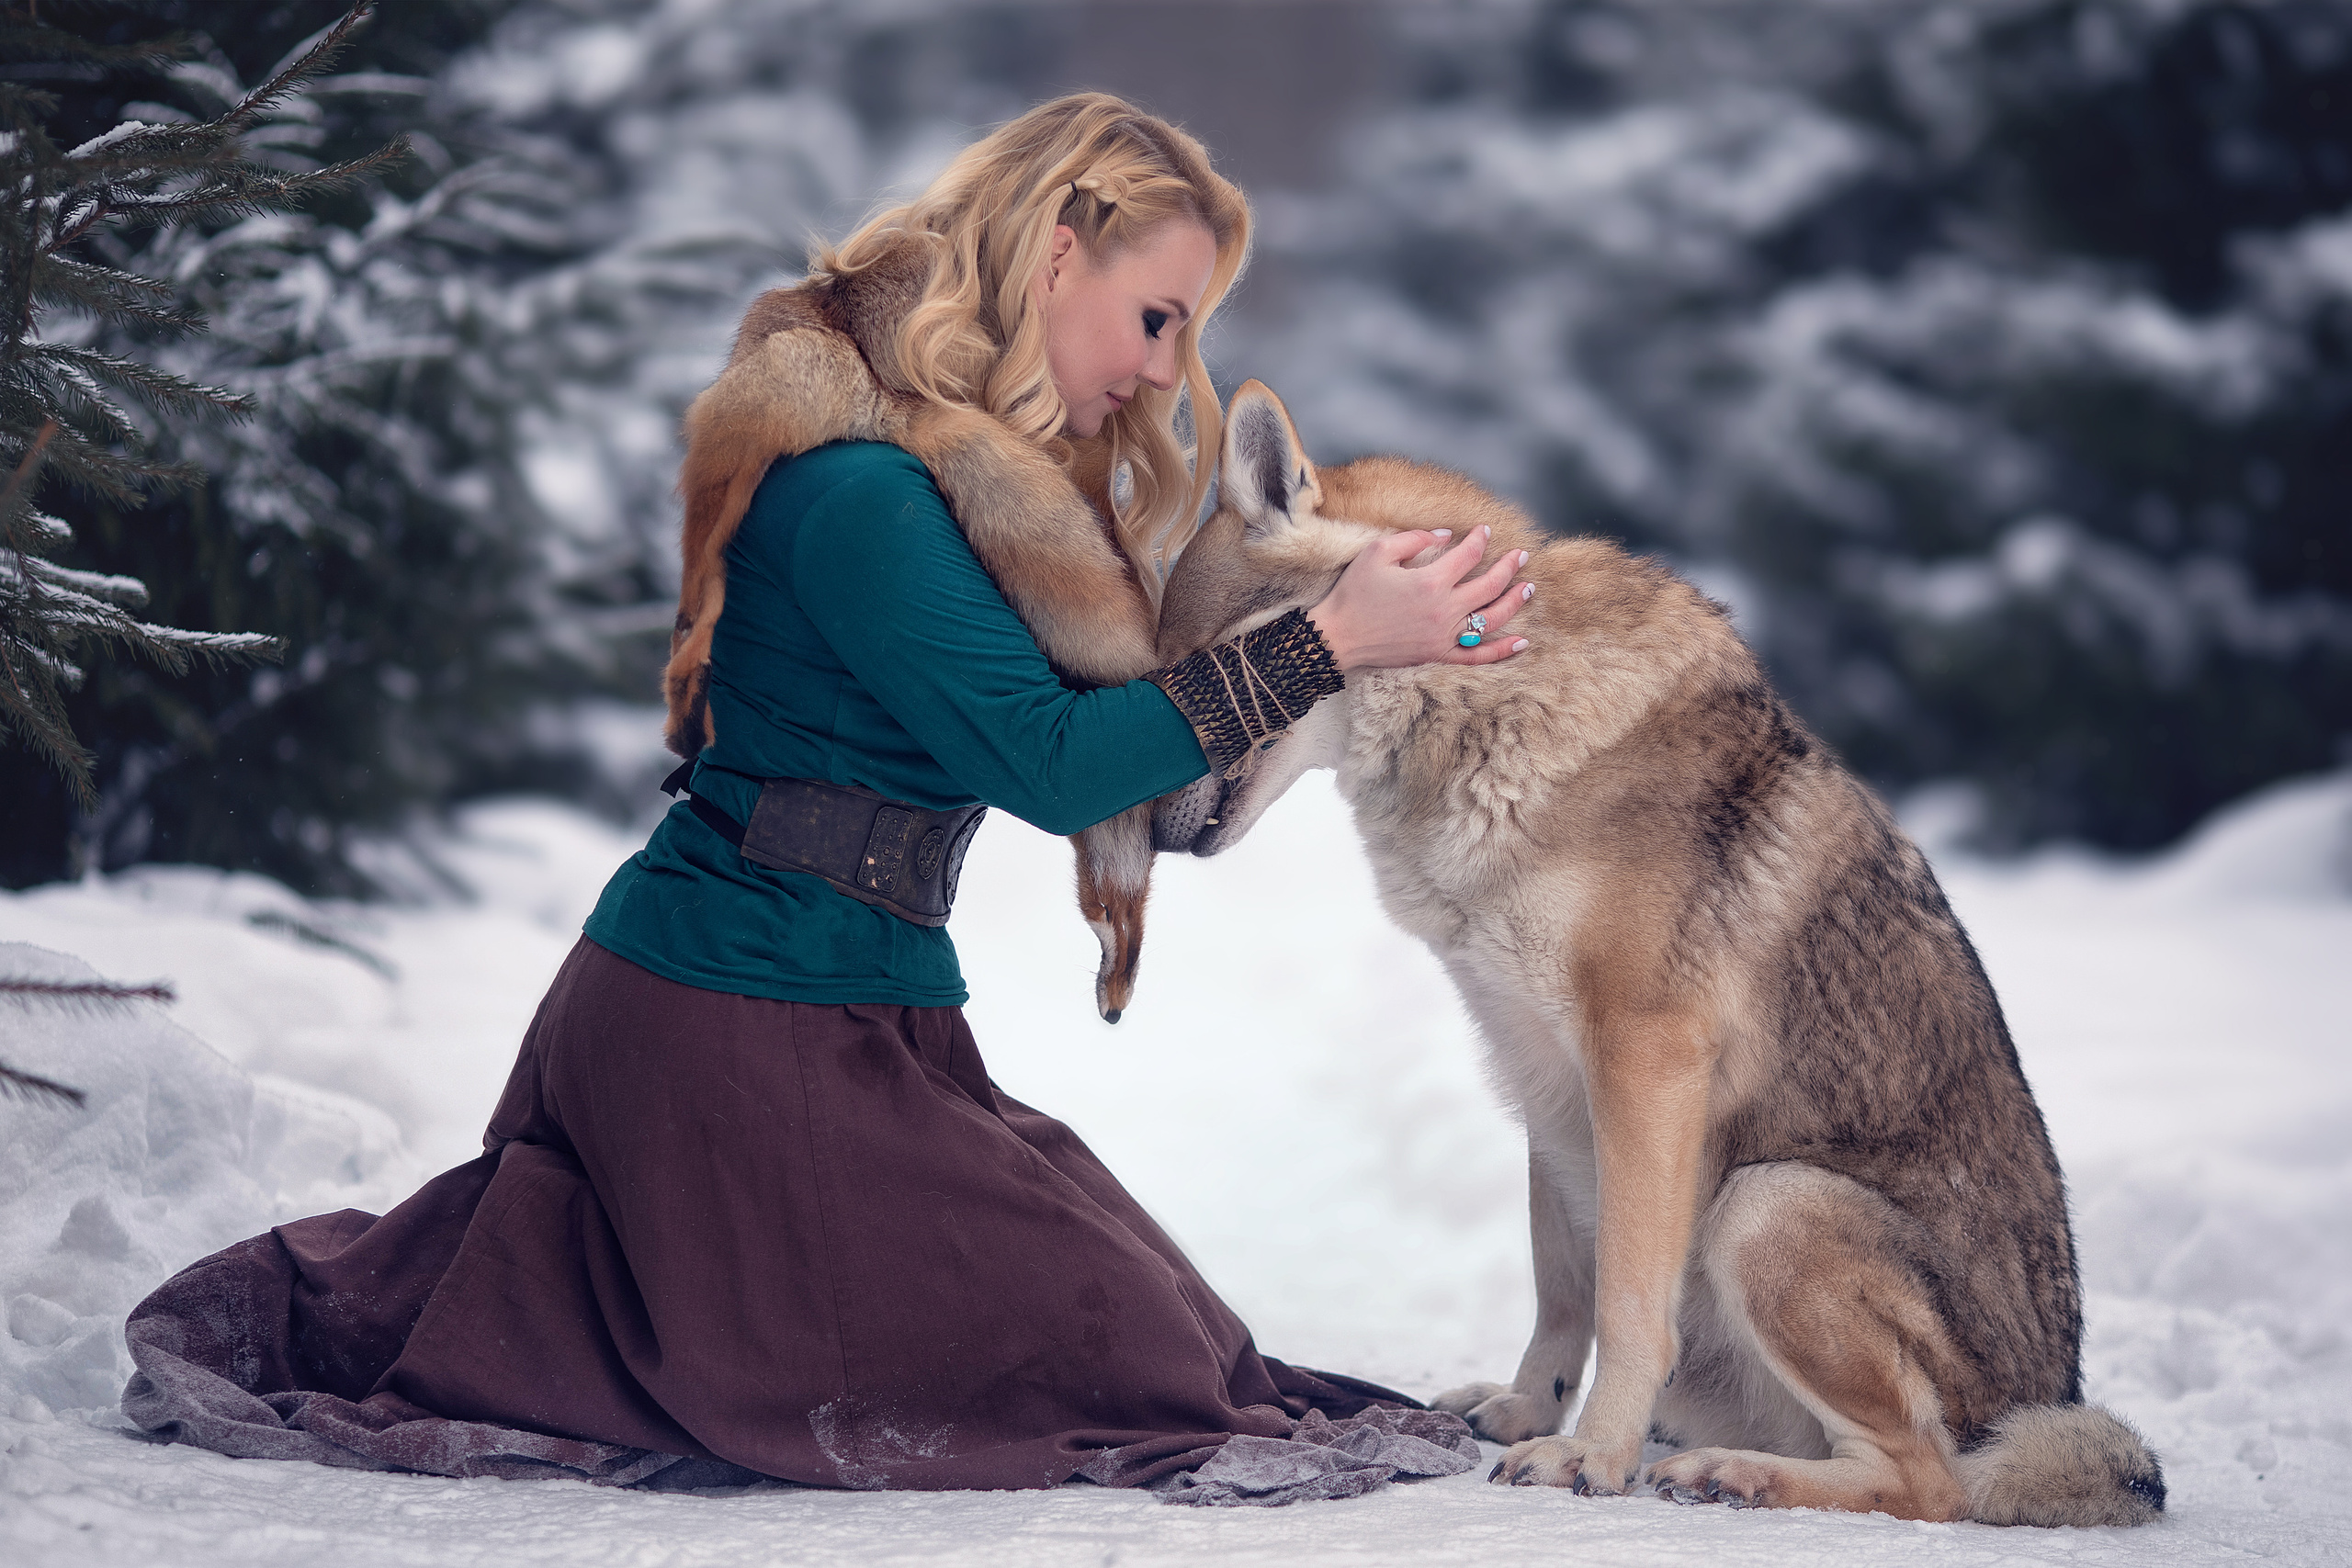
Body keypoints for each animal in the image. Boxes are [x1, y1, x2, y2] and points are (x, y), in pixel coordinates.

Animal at [1150, 381, 2165, 1526]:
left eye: (1192, 673)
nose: (1142, 831)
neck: (1493, 710)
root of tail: (2050, 1404)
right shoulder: (1540, 1073)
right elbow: (1562, 1290)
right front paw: (1524, 1414)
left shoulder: (1643, 1057)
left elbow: (1629, 1301)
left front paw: (1589, 1457)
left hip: (1763, 1206)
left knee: (1931, 1485)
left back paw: (1726, 1474)